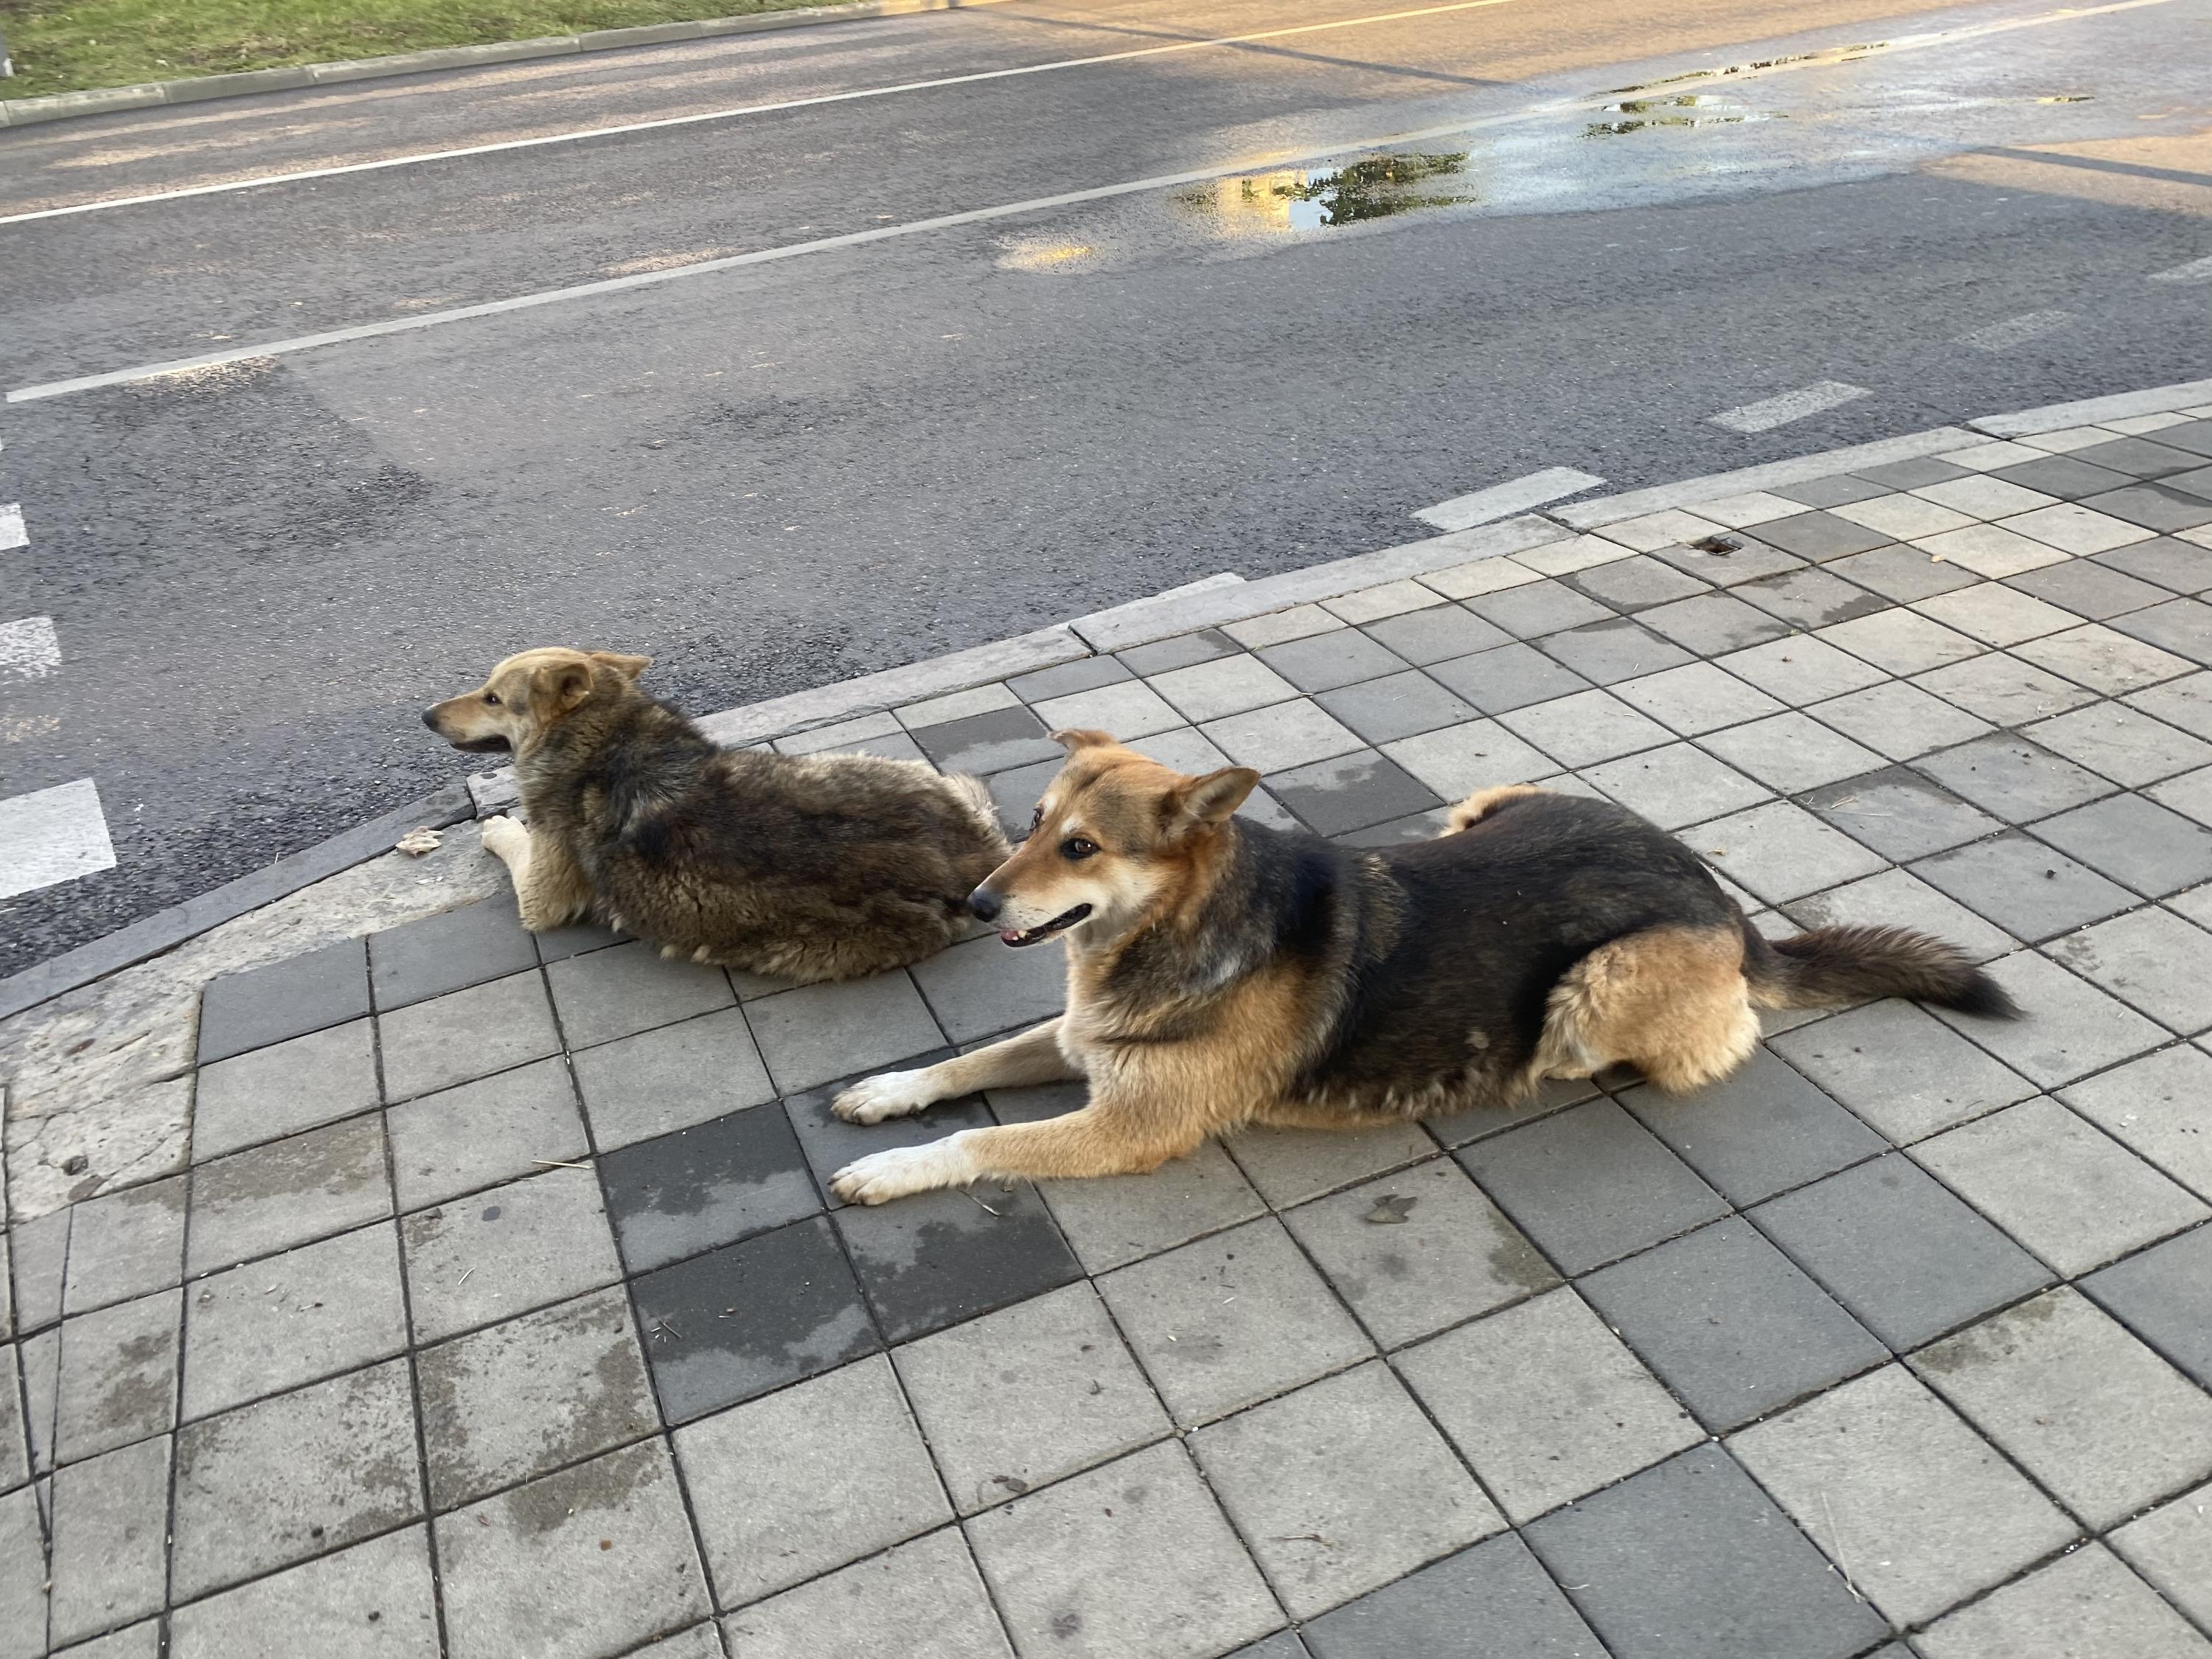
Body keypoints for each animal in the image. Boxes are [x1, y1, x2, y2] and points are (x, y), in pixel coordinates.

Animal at [422, 650, 1013, 987]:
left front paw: (497, 824)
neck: (608, 734)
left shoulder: (540, 898)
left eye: (492, 697)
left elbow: (513, 840)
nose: (424, 716)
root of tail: (971, 861)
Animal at [823, 734, 2017, 1203]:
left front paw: (894, 1167)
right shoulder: (1083, 1038)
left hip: (1601, 982)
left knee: (1690, 1044)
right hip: (1495, 800)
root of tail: (1722, 899)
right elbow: (968, 1064)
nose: (976, 905)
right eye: (1028, 824)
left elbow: (981, 1139)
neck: (1182, 927)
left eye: (1080, 847)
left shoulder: (1128, 1125)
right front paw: (889, 1093)